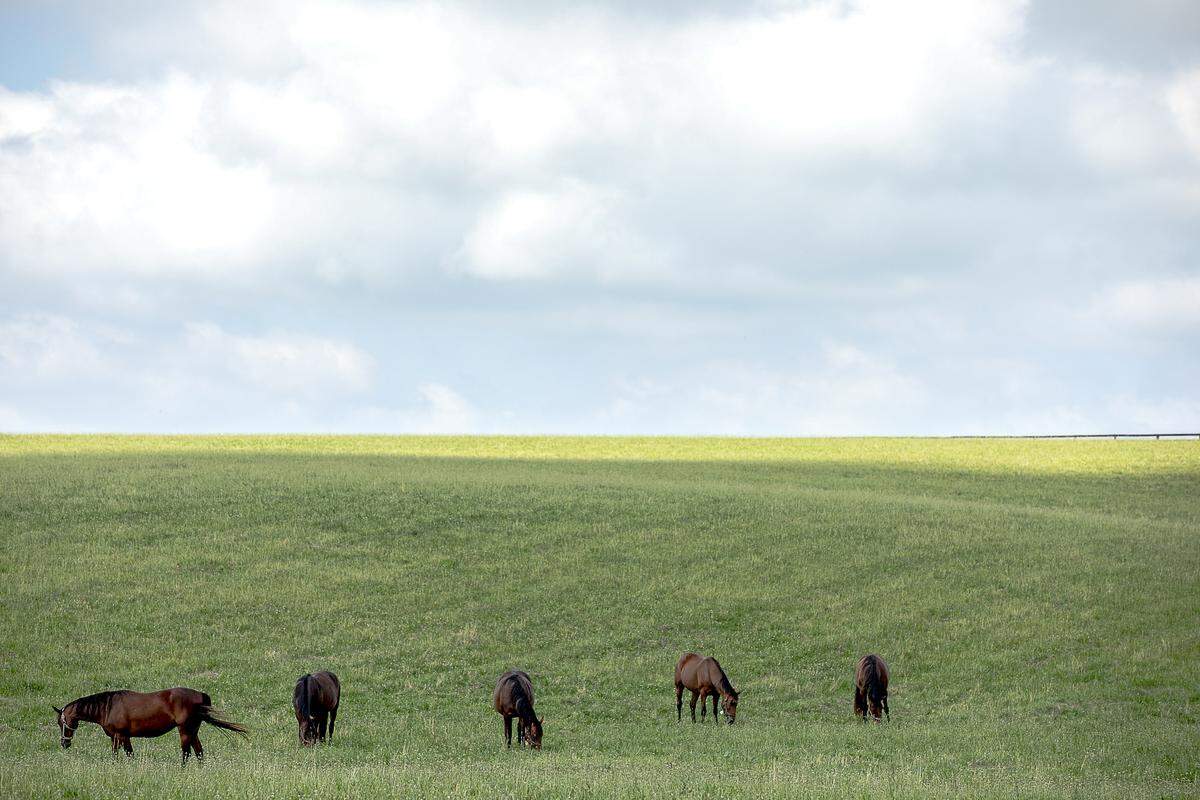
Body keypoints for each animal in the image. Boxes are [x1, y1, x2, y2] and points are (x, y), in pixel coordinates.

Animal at [53, 687, 247, 764]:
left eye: (61, 722)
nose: (64, 743)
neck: (108, 707)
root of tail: (199, 694)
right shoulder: (121, 737)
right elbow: (125, 754)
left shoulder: (119, 736)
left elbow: (121, 754)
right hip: (193, 730)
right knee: (199, 751)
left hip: (184, 730)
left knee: (187, 753)